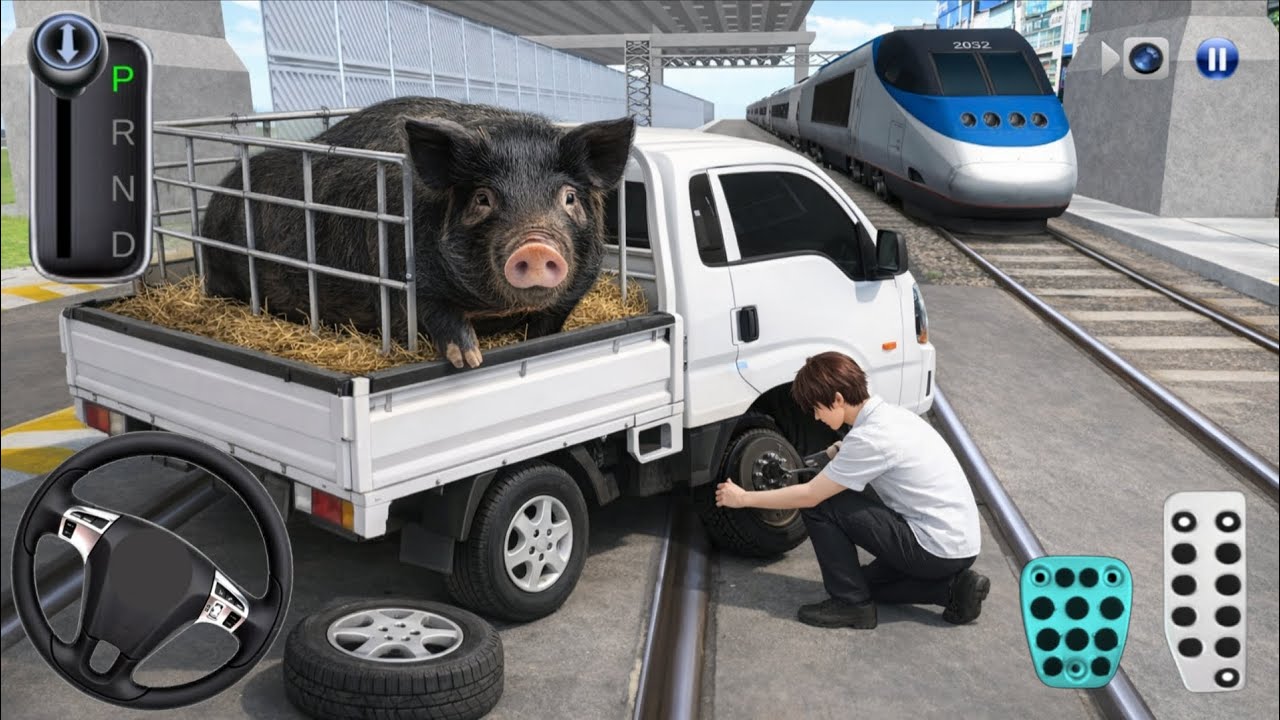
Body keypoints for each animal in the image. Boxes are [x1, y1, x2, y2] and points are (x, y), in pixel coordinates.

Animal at [200, 96, 635, 368]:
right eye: (483, 197)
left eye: (569, 197)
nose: (535, 247)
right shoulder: (399, 272)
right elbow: (432, 310)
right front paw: (470, 358)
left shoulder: (580, 283)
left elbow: (550, 321)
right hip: (221, 270)